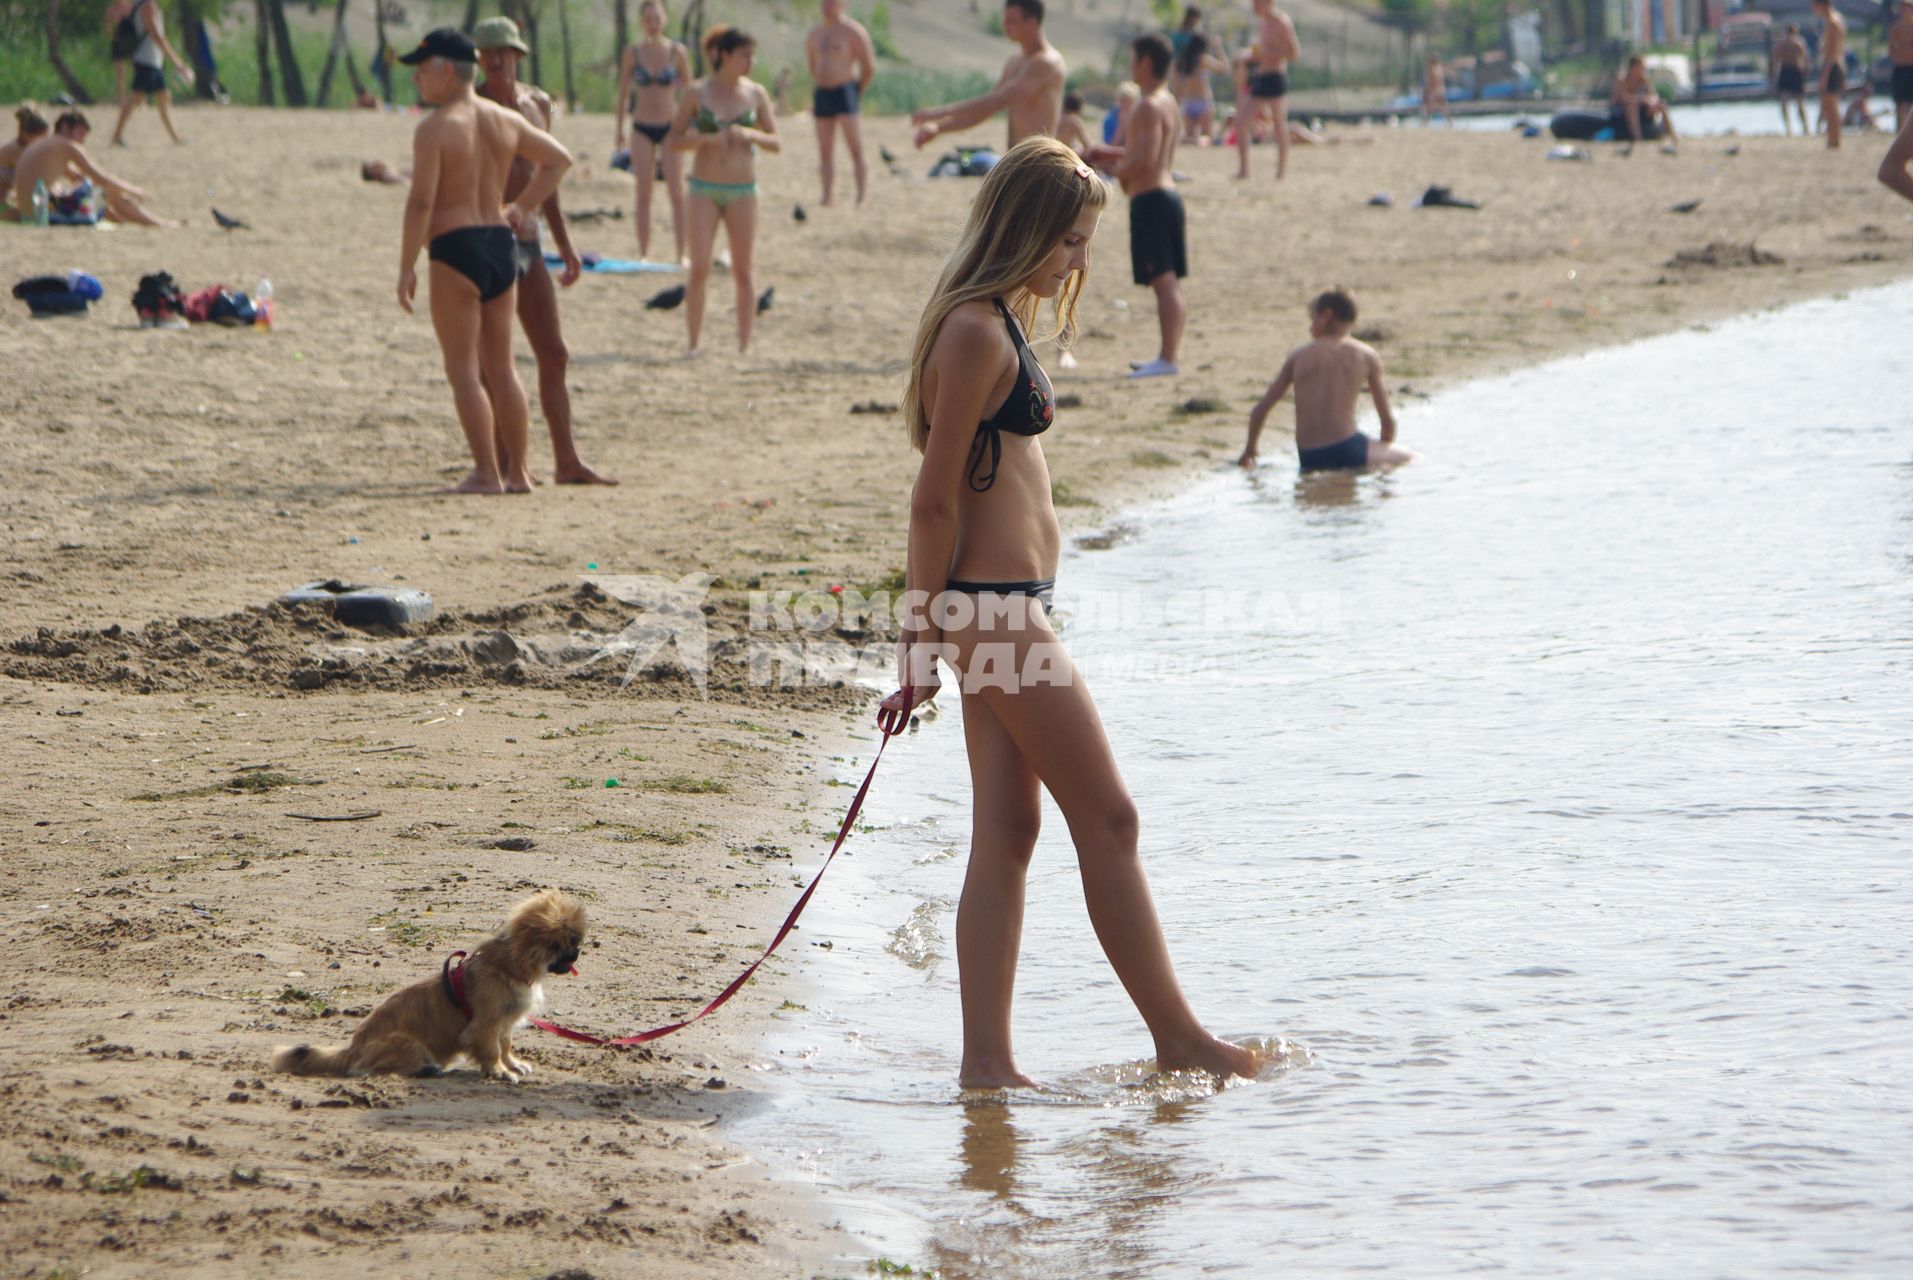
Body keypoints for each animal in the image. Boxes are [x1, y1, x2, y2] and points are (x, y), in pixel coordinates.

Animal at [269, 887, 581, 1079]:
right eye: (564, 944)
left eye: (573, 942)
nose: (578, 951)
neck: (505, 966)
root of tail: (352, 1050)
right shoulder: (485, 1026)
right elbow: (492, 1051)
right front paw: (499, 1072)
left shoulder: (504, 1024)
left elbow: (505, 1047)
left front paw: (513, 1065)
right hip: (408, 1044)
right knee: (374, 1069)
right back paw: (428, 1070)